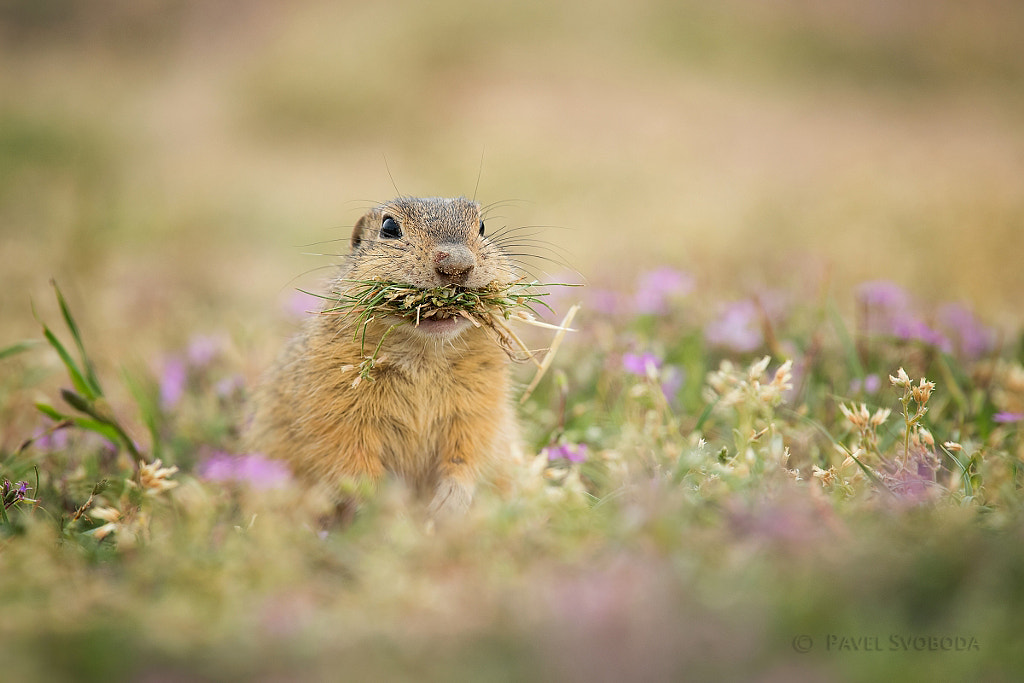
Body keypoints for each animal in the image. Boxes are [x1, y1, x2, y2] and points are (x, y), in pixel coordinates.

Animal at [247, 197, 520, 518]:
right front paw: (390, 511)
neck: (423, 353)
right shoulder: (333, 399)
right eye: (389, 227)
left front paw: (449, 503)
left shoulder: (482, 400)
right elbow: (349, 457)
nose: (456, 265)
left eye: (482, 227)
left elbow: (471, 449)